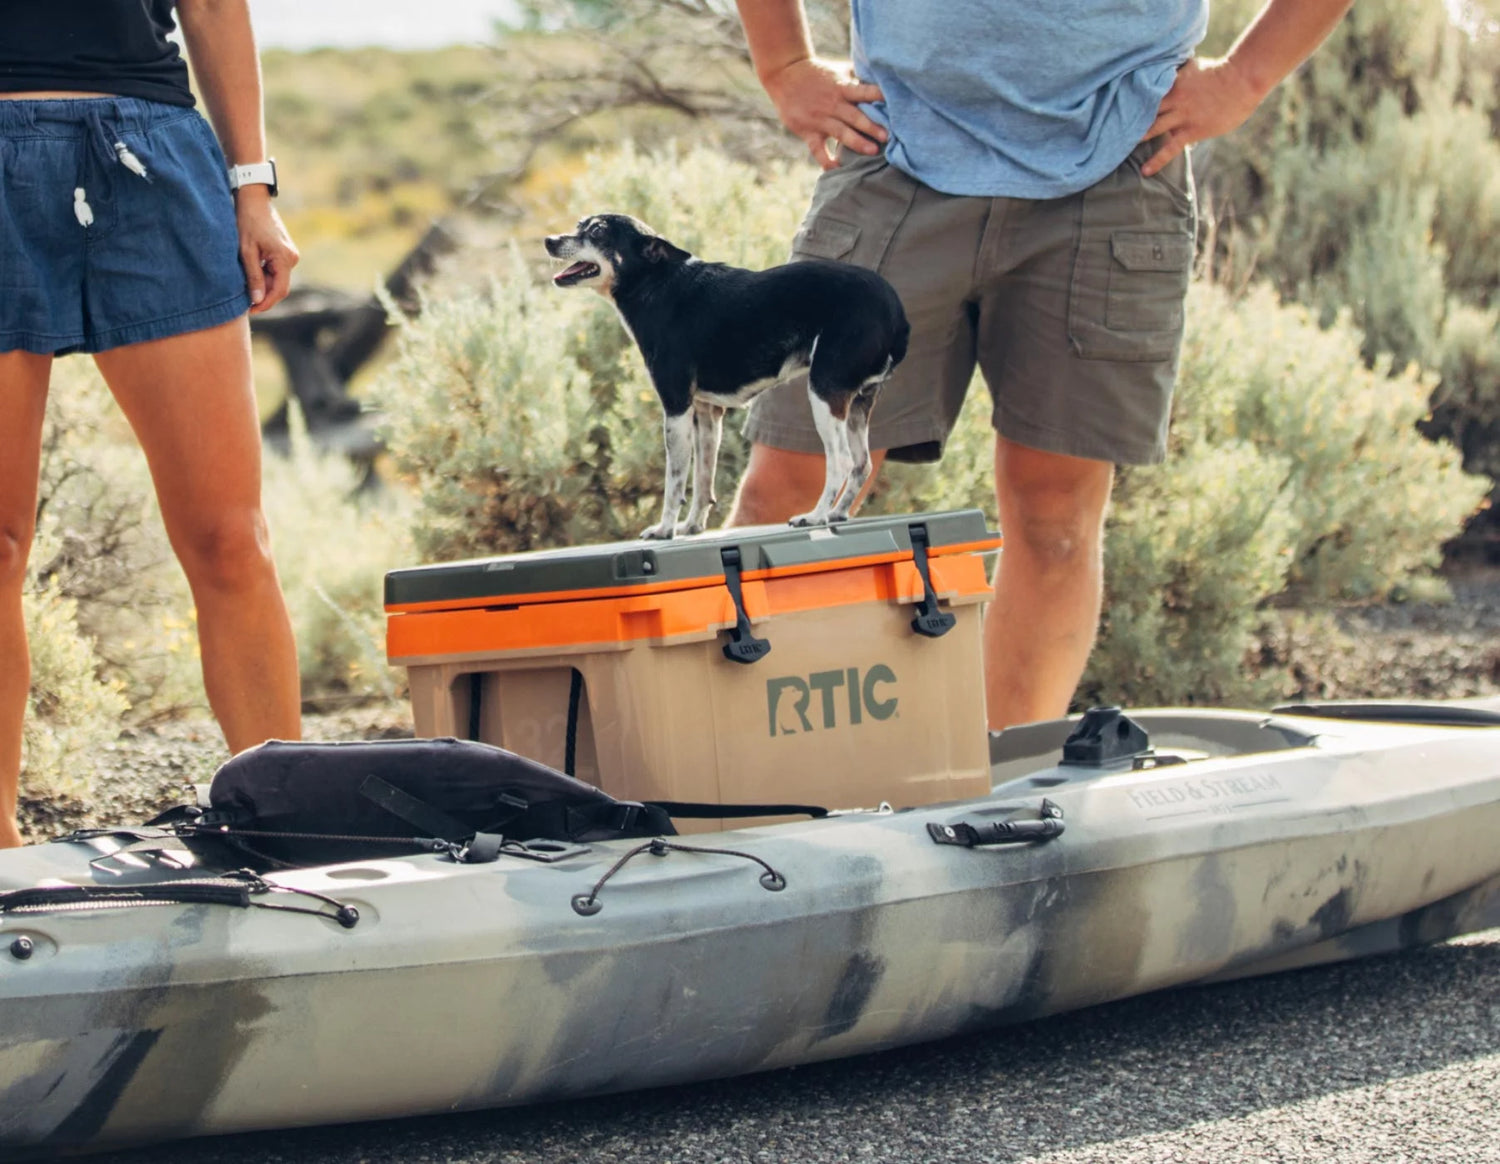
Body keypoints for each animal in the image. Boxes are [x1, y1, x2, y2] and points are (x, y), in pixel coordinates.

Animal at [549, 211, 906, 540]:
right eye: (579, 225)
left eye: (597, 232)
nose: (550, 240)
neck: (658, 283)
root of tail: (896, 312)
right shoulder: (707, 414)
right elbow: (703, 478)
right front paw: (692, 526)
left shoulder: (676, 408)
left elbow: (675, 481)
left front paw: (665, 529)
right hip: (858, 403)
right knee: (861, 464)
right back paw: (837, 513)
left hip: (824, 392)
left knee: (841, 461)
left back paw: (815, 516)